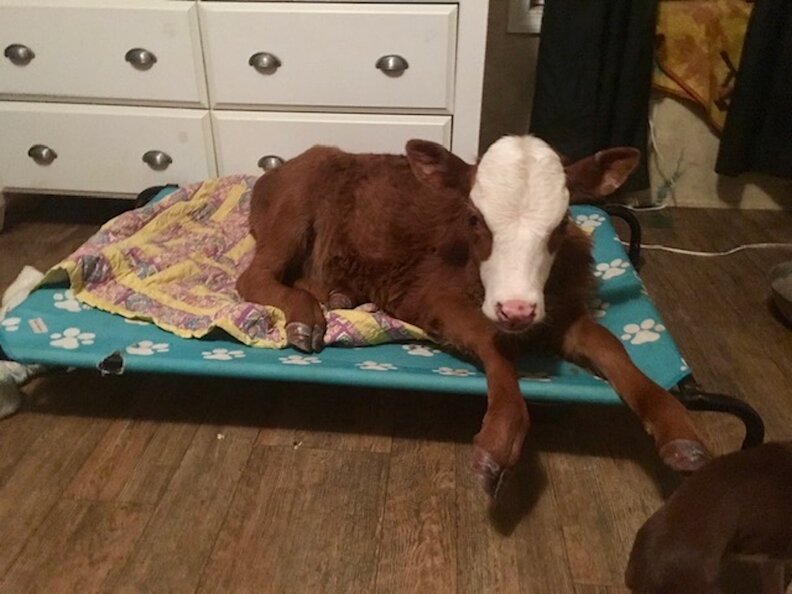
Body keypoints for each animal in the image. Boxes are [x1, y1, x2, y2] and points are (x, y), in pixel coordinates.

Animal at [236, 135, 711, 495]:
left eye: (561, 224)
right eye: (475, 219)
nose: (517, 309)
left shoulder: (561, 309)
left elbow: (611, 346)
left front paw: (679, 431)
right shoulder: (433, 295)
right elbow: (491, 341)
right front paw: (498, 439)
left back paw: (338, 295)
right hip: (292, 214)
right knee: (253, 277)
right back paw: (307, 319)